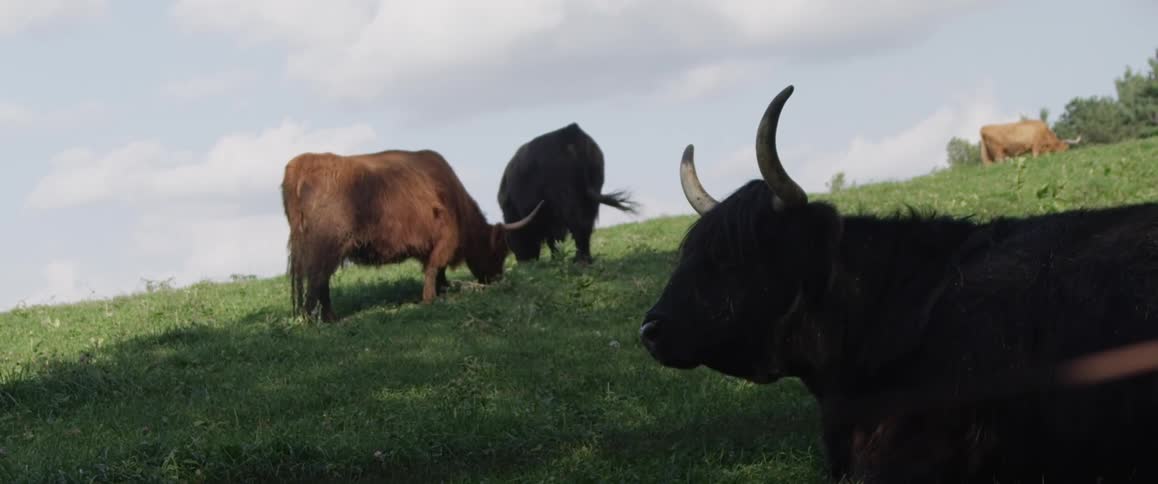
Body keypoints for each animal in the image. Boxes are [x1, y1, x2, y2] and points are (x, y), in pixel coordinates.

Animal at [281, 149, 543, 322]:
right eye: (500, 251)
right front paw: (430, 299)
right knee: (318, 282)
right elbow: (434, 268)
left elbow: (437, 270)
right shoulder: (445, 238)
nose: (497, 279)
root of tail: (302, 163)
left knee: (318, 283)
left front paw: (442, 290)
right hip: (326, 248)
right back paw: (323, 319)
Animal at [497, 123, 639, 265]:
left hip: (567, 198)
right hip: (591, 196)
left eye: (510, 240)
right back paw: (585, 258)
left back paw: (579, 259)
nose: (524, 262)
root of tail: (571, 132)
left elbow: (554, 239)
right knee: (586, 225)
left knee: (577, 225)